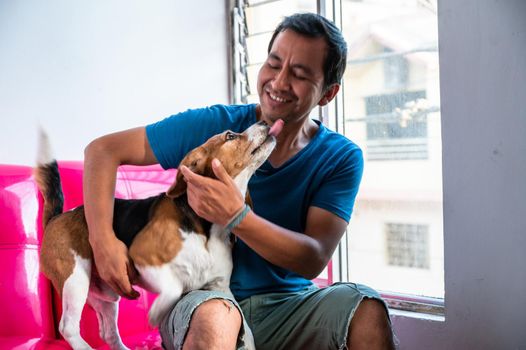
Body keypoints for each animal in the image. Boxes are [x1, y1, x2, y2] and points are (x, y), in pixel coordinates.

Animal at [37, 120, 284, 350]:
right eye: (230, 136)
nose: (264, 121)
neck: (208, 230)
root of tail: (57, 217)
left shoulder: (220, 287)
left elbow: (246, 331)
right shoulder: (143, 257)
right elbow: (174, 288)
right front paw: (155, 314)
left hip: (106, 296)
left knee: (108, 333)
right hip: (75, 279)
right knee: (68, 326)